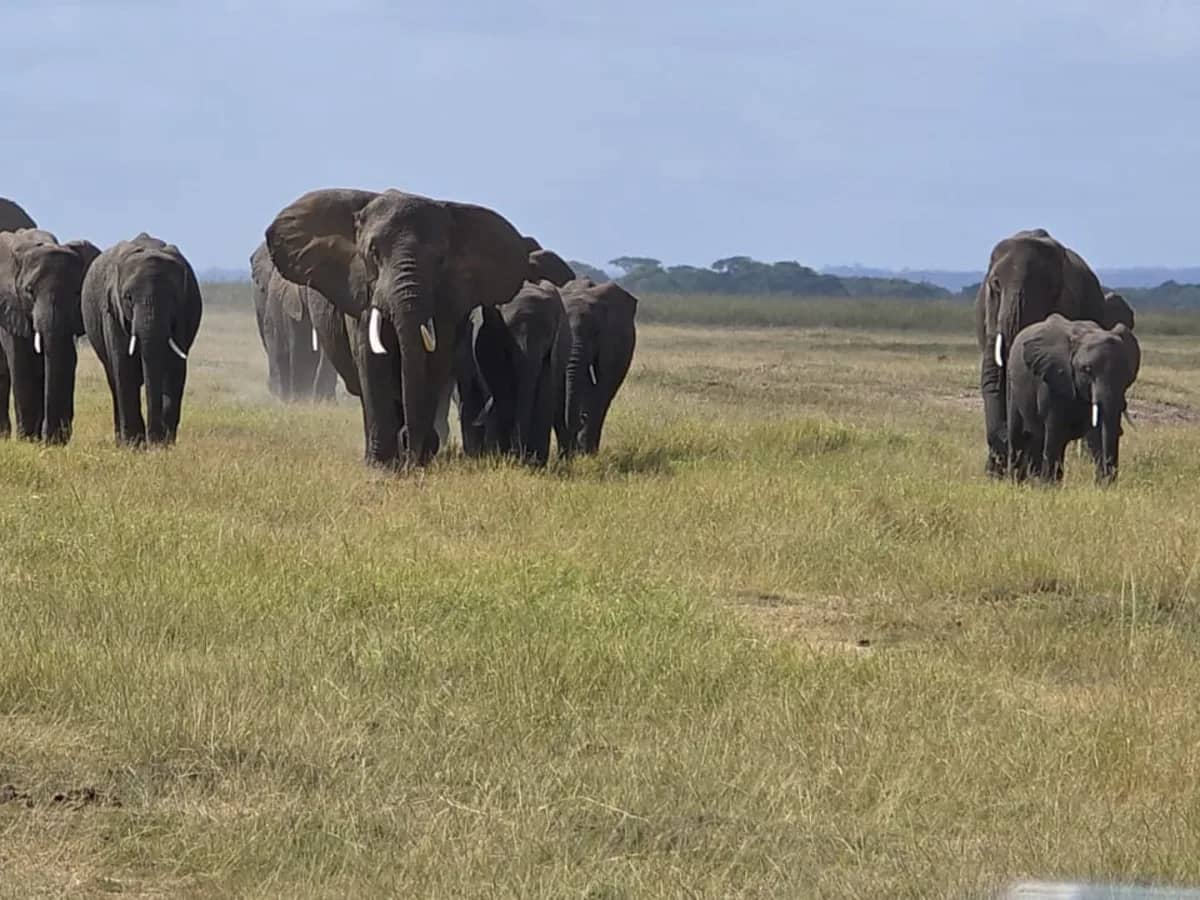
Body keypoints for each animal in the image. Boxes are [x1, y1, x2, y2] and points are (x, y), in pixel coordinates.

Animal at [0, 231, 100, 443]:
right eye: (29, 291)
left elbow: (67, 358)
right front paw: (27, 440)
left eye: (77, 292)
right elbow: (20, 360)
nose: (49, 438)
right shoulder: (10, 305)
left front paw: (54, 442)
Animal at [81, 234, 204, 446]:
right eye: (128, 298)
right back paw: (122, 441)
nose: (153, 439)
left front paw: (162, 445)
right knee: (114, 380)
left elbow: (175, 368)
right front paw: (134, 446)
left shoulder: (183, 312)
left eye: (173, 298)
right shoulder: (113, 312)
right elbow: (124, 367)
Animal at [265, 188, 553, 467]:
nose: (408, 443)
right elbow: (372, 359)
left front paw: (419, 458)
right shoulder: (362, 291)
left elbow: (435, 360)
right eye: (373, 253)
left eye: (440, 259)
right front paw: (382, 465)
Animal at [455, 279, 568, 465]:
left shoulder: (553, 351)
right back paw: (479, 456)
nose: (518, 456)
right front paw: (498, 459)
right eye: (508, 334)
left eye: (548, 335)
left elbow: (544, 394)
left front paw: (535, 464)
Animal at [1007, 314, 1140, 484]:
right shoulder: (1052, 380)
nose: (1108, 482)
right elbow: (1054, 431)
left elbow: (1096, 434)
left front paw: (1103, 486)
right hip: (1013, 386)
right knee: (1020, 436)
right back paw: (1017, 482)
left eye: (1127, 373)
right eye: (1087, 370)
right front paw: (1047, 486)